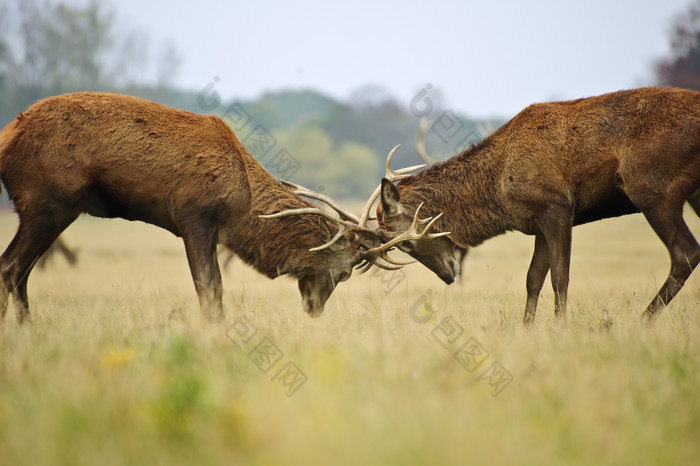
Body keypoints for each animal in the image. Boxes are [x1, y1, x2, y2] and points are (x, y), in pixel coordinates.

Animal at [0, 91, 442, 324]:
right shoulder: (193, 217)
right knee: (11, 266)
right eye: (346, 271)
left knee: (21, 271)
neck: (242, 203)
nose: (313, 310)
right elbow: (211, 290)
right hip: (49, 201)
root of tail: (8, 137)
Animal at [366, 89, 700, 326]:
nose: (449, 277)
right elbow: (533, 278)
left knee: (685, 252)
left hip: (653, 187)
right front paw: (527, 327)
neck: (500, 189)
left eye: (407, 243)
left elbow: (560, 276)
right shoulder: (538, 221)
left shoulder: (557, 207)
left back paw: (641, 321)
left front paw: (560, 327)